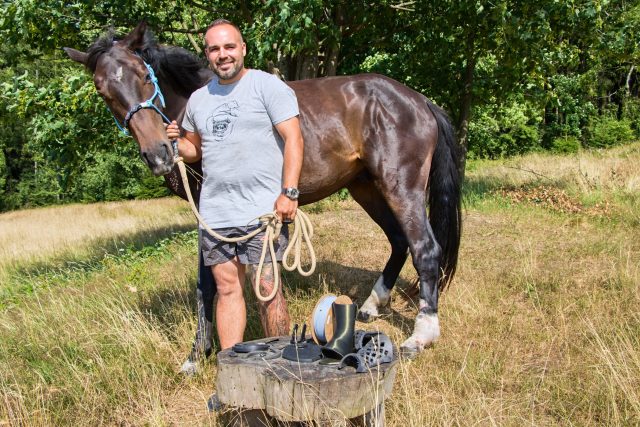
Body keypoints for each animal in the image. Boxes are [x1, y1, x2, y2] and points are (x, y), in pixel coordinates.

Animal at [65, 22, 462, 364]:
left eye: (146, 76)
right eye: (103, 90)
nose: (159, 154)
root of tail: (419, 101)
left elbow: (207, 283)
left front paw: (197, 355)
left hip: (400, 186)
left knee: (424, 249)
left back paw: (421, 335)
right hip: (366, 187)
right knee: (399, 241)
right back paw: (370, 306)